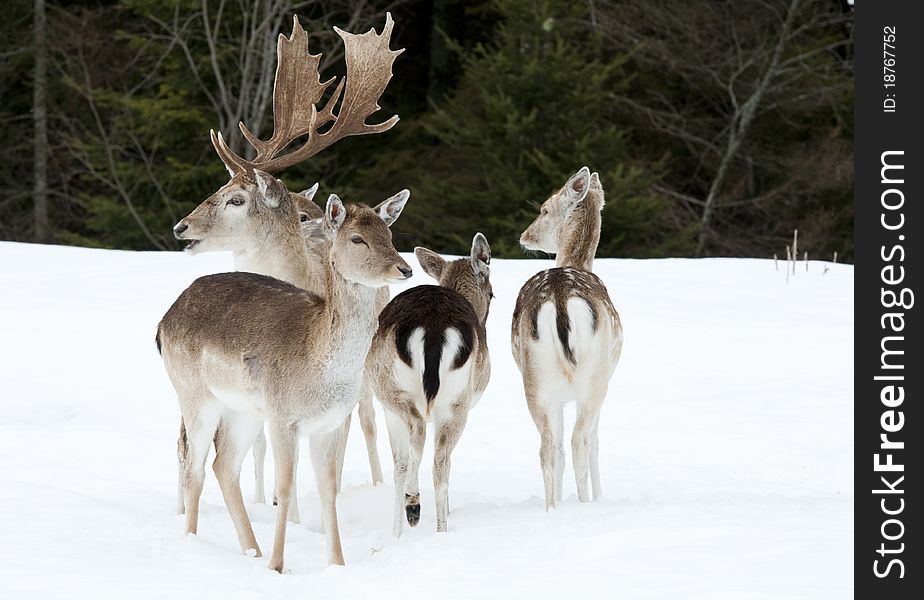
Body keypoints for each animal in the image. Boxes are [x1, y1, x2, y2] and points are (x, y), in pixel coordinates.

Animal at [156, 11, 408, 568]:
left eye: (235, 198)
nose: (182, 227)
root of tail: (163, 320)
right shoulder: (281, 417)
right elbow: (287, 483)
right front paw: (280, 560)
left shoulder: (325, 421)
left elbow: (326, 485)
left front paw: (334, 562)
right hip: (201, 395)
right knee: (198, 460)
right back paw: (199, 542)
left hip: (246, 405)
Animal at [366, 233, 494, 536]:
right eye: (492, 294)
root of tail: (434, 326)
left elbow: (401, 462)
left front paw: (398, 530)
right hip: (453, 401)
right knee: (436, 457)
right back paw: (426, 517)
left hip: (400, 391)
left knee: (425, 446)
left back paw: (416, 508)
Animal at [508, 168, 624, 510]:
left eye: (544, 209)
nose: (524, 236)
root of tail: (559, 298)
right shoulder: (604, 382)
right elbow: (595, 441)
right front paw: (599, 495)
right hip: (594, 378)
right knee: (579, 440)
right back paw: (585, 504)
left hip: (536, 379)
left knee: (549, 446)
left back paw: (552, 508)